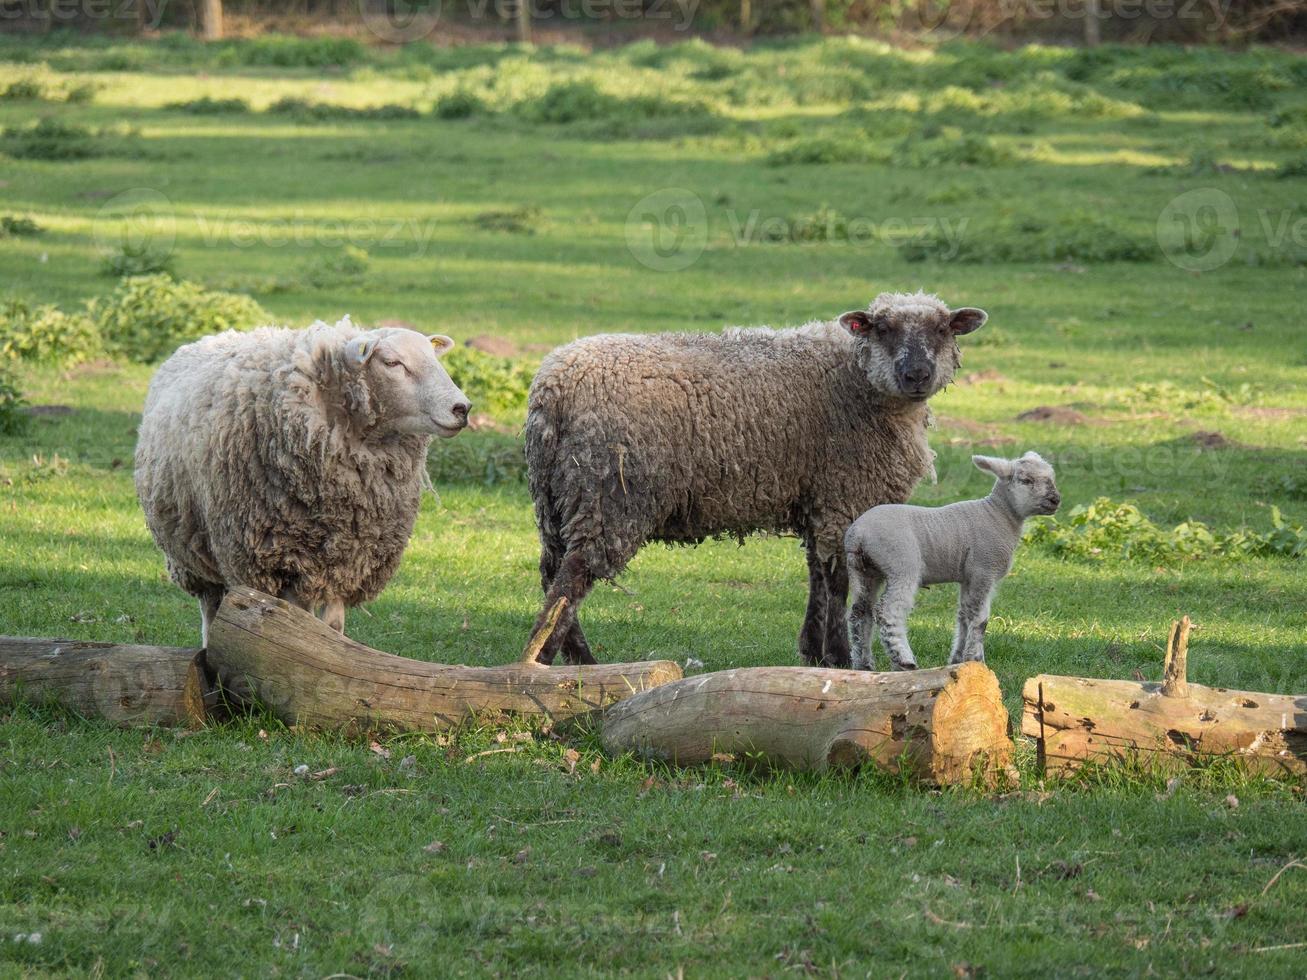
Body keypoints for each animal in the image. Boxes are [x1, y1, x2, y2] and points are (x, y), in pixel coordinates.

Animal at [131, 318, 470, 648]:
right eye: (392, 362)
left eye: (433, 357)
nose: (462, 408)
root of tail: (213, 336)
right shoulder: (282, 560)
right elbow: (296, 620)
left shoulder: (344, 560)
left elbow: (332, 626)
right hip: (196, 552)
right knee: (211, 608)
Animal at [520, 290, 988, 669]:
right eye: (884, 328)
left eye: (943, 329)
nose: (917, 375)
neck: (856, 380)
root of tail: (554, 387)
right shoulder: (842, 494)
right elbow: (838, 580)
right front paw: (839, 656)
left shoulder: (815, 495)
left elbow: (817, 575)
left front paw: (812, 651)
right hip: (610, 493)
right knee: (573, 577)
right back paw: (557, 660)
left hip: (557, 496)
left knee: (551, 571)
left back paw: (569, 657)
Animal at [846, 454, 1061, 674]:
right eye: (1026, 480)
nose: (1056, 500)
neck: (998, 515)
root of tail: (858, 534)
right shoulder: (984, 570)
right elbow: (980, 619)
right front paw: (977, 660)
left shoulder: (969, 577)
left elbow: (964, 615)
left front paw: (958, 660)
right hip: (901, 565)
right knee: (887, 611)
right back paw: (904, 660)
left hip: (866, 571)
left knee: (860, 613)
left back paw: (863, 664)